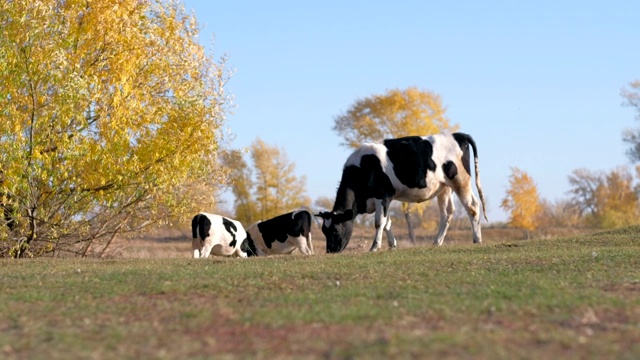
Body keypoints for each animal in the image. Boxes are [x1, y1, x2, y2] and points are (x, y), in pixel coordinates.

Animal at [318, 132, 488, 253]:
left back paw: (477, 239)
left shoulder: (383, 196)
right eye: (324, 231)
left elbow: (379, 222)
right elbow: (387, 222)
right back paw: (437, 242)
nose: (330, 251)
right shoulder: (383, 199)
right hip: (444, 187)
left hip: (460, 181)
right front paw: (392, 245)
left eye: (335, 230)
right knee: (447, 213)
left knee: (472, 207)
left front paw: (374, 247)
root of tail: (458, 134)